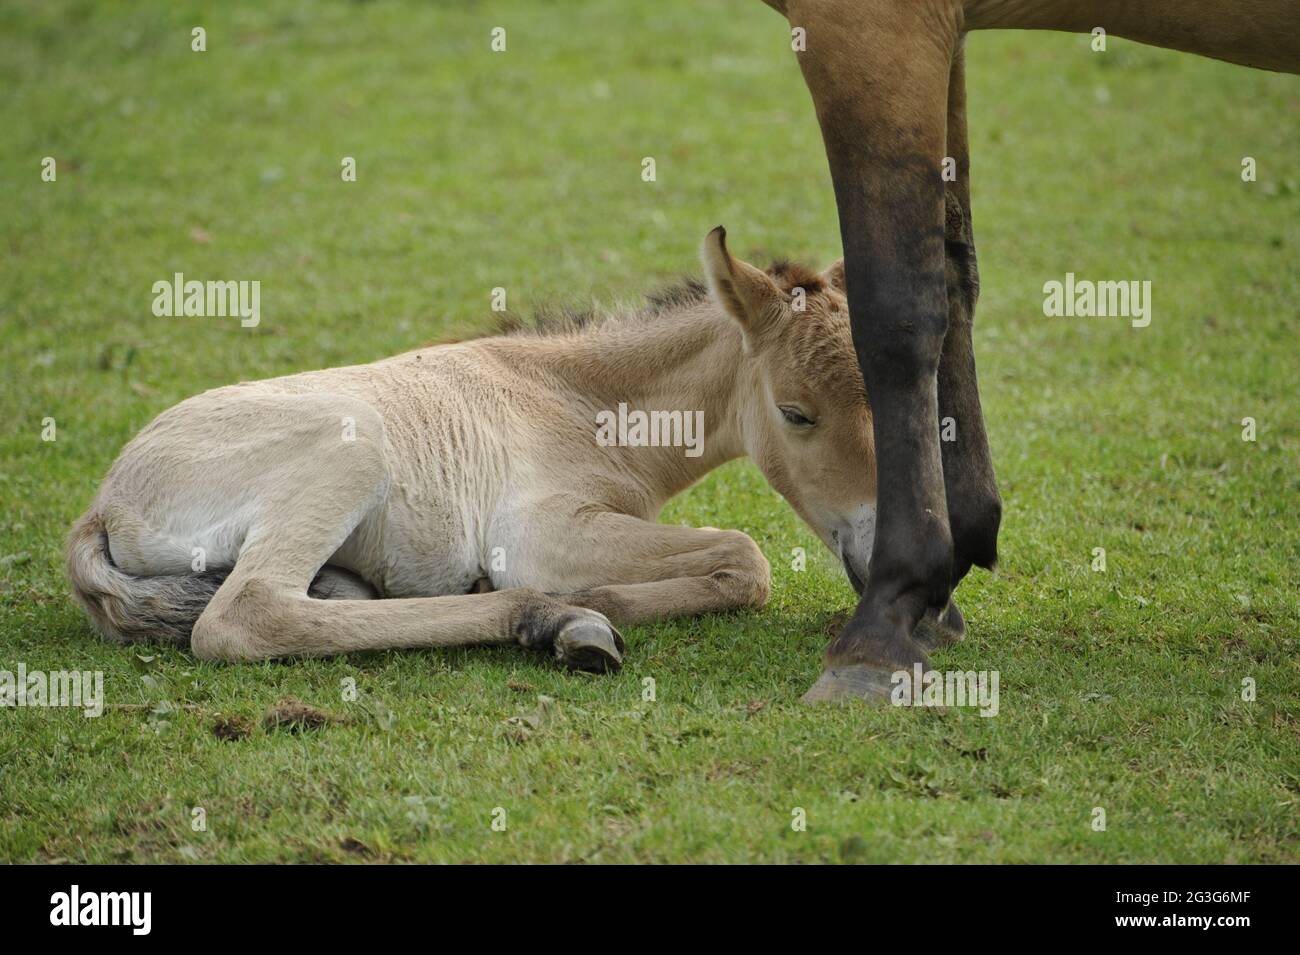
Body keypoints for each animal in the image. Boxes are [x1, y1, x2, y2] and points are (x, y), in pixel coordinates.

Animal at [766, 0, 1300, 701]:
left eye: (796, 414)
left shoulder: (873, 32)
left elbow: (896, 311)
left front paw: (883, 623)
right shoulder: (945, 35)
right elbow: (953, 270)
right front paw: (941, 583)